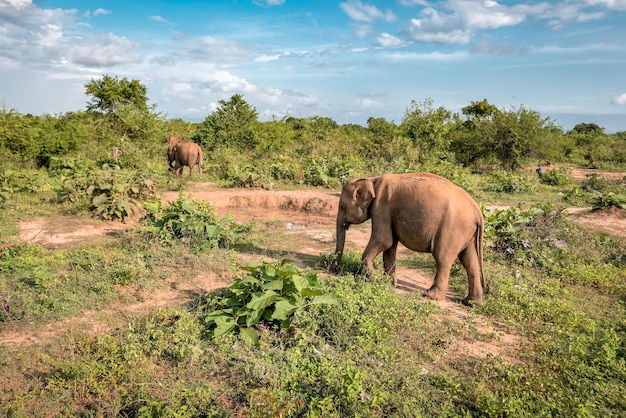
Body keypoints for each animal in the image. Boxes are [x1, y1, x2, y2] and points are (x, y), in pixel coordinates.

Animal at [330, 171, 486, 306]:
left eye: (342, 206)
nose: (335, 271)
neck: (372, 179)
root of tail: (477, 211)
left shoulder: (381, 207)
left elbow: (384, 240)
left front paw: (375, 277)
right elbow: (390, 246)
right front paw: (387, 282)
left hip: (453, 228)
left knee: (443, 258)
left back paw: (430, 295)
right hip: (467, 233)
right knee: (469, 261)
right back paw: (471, 302)